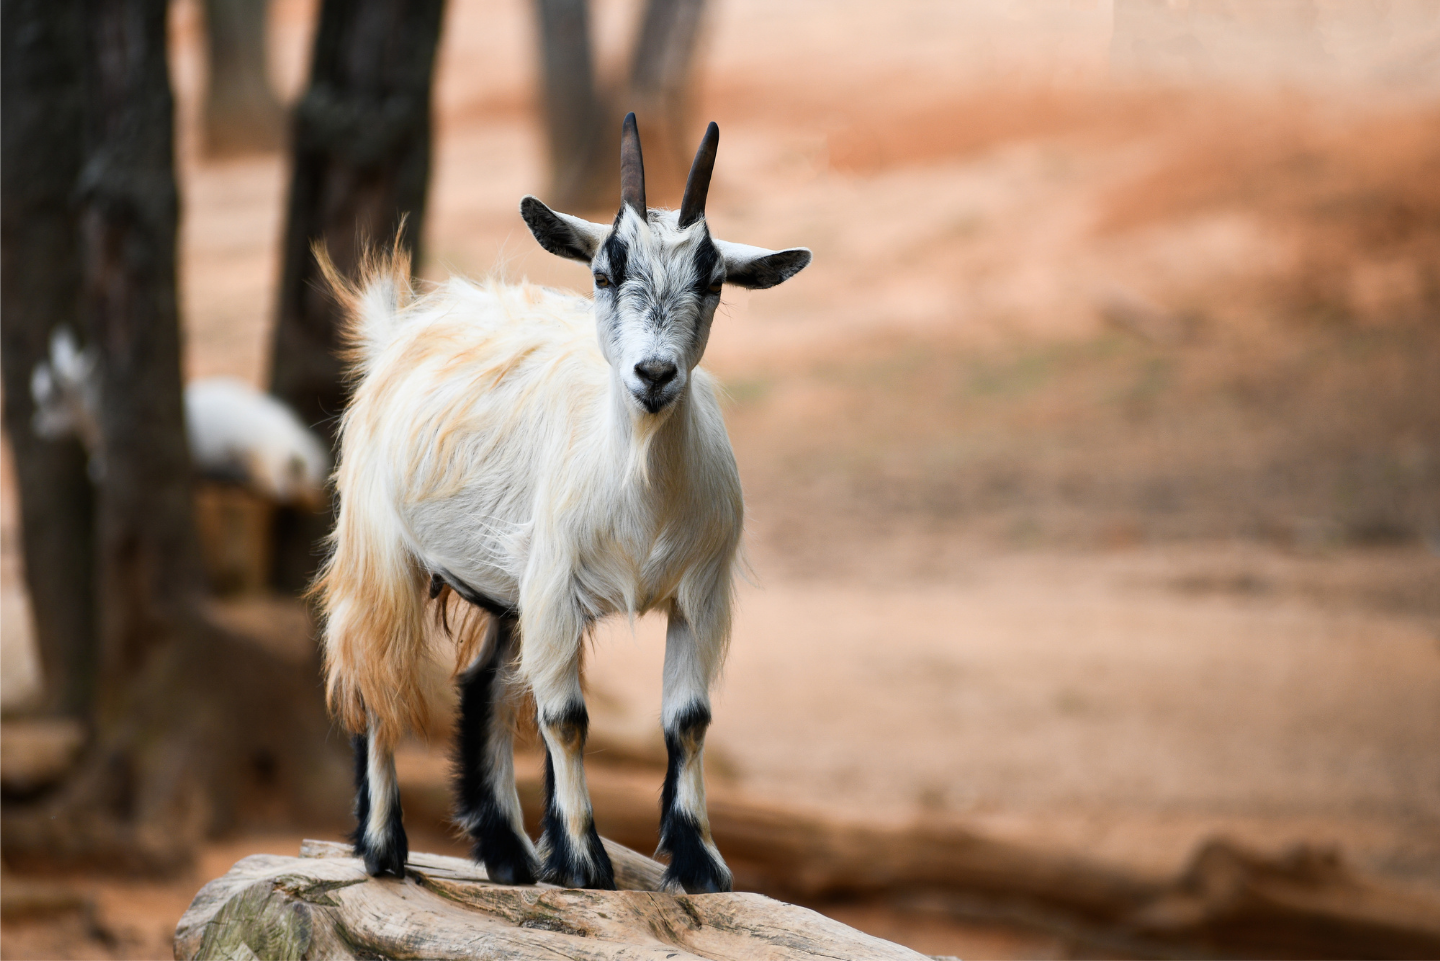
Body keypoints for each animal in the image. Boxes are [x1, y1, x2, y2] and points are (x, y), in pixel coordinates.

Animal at [316, 114, 812, 893]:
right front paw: (583, 860)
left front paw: (697, 861)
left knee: (483, 686)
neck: (639, 489)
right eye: (604, 274)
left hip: (506, 588)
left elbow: (688, 719)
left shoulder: (700, 594)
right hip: (380, 554)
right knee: (375, 680)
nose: (654, 373)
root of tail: (399, 329)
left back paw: (511, 855)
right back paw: (383, 847)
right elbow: (567, 716)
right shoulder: (555, 585)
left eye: (712, 283)